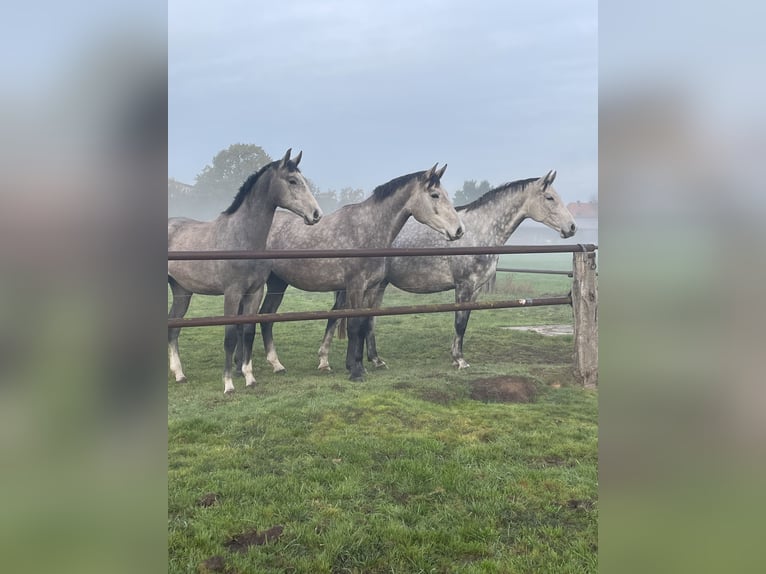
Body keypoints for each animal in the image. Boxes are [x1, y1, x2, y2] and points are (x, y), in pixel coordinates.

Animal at [167, 149, 322, 394]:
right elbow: (230, 335)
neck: (241, 237)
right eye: (292, 181)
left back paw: (179, 374)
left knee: (173, 328)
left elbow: (248, 331)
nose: (316, 214)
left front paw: (249, 377)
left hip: (182, 291)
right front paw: (228, 384)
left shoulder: (254, 292)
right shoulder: (232, 293)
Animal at [256, 164, 465, 381]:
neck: (367, 228)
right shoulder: (356, 286)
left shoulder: (371, 287)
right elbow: (354, 326)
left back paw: (276, 364)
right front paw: (355, 372)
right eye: (434, 195)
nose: (459, 230)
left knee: (266, 316)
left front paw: (358, 366)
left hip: (278, 283)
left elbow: (364, 324)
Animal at [318, 170, 577, 370]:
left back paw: (376, 360)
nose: (572, 227)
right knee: (337, 316)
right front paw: (460, 361)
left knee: (369, 319)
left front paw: (456, 357)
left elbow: (464, 322)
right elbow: (459, 323)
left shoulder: (475, 290)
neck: (479, 230)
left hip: (377, 285)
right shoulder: (464, 285)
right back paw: (325, 361)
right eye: (550, 198)